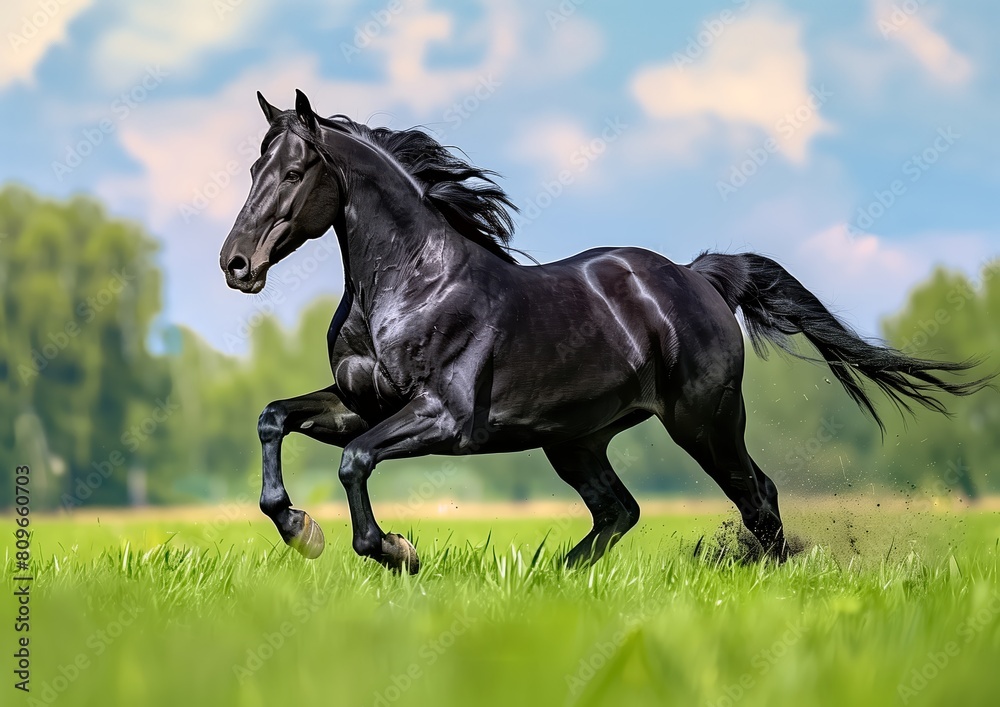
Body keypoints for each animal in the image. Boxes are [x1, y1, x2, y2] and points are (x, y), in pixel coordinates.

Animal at [219, 90, 990, 573]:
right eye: (253, 166)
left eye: (295, 169)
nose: (236, 264)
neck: (409, 287)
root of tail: (698, 275)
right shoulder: (362, 404)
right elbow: (272, 418)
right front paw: (299, 528)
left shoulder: (446, 418)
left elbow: (355, 462)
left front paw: (393, 549)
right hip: (576, 439)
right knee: (620, 511)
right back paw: (551, 576)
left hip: (704, 421)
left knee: (757, 496)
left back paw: (768, 576)